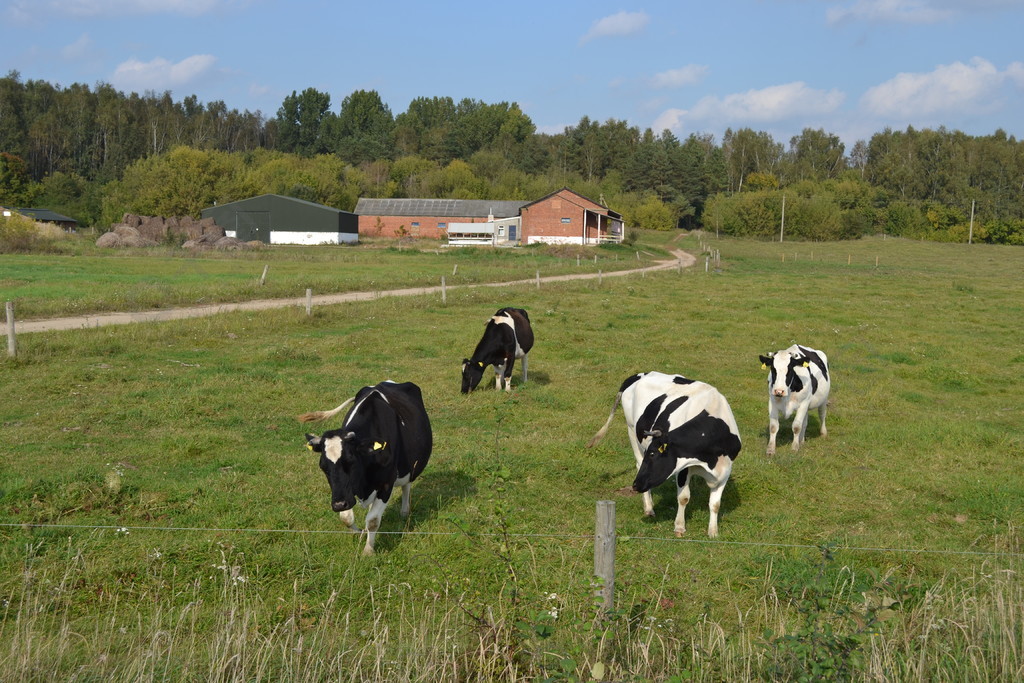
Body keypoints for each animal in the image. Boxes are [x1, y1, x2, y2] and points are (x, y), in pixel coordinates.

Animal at [299, 378, 430, 557]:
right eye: (323, 467)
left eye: (351, 461)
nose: (338, 505)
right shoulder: (347, 491)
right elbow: (347, 518)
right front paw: (360, 532)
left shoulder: (386, 484)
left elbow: (373, 520)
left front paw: (368, 551)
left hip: (409, 466)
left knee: (406, 484)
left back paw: (404, 511)